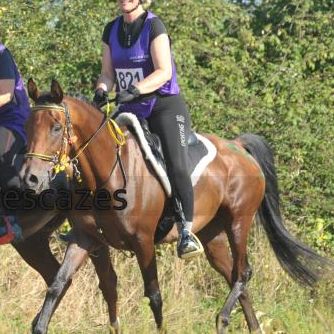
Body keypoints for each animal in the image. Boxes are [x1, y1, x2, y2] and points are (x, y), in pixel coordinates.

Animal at [21, 78, 334, 334]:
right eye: (28, 127)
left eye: (56, 127)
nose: (30, 177)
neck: (104, 175)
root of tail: (238, 146)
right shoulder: (85, 239)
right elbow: (57, 285)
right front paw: (39, 324)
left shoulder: (143, 242)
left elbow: (155, 296)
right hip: (212, 236)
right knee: (234, 275)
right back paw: (249, 327)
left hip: (238, 221)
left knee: (243, 272)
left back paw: (221, 319)